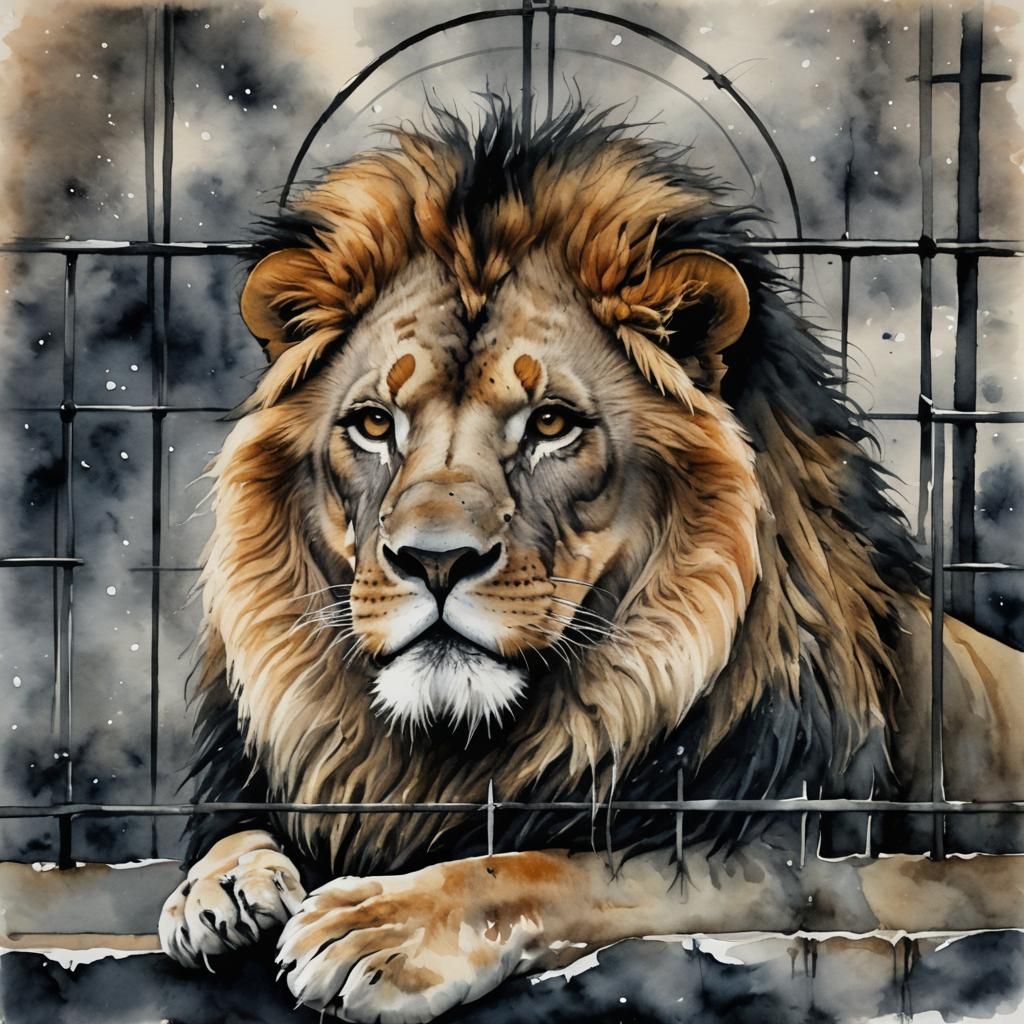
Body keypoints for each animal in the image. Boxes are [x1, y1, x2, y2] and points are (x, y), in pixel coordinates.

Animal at [158, 104, 1024, 1023]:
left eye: (550, 423)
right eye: (373, 423)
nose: (435, 561)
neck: (460, 749)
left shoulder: (790, 871)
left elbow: (547, 867)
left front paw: (379, 926)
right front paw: (220, 886)